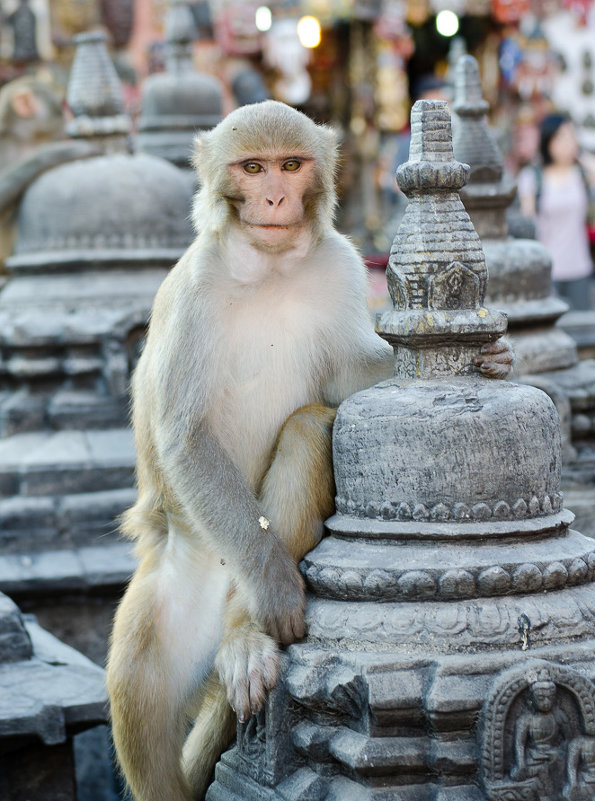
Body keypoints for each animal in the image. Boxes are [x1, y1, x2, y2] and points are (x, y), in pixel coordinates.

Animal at [106, 100, 512, 800]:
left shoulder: (343, 265)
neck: (268, 266)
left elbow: (347, 380)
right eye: (253, 167)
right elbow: (185, 437)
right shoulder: (194, 290)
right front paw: (273, 584)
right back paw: (257, 605)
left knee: (307, 427)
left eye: (291, 165)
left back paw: (247, 633)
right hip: (171, 598)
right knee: (138, 700)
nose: (274, 196)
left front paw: (492, 358)